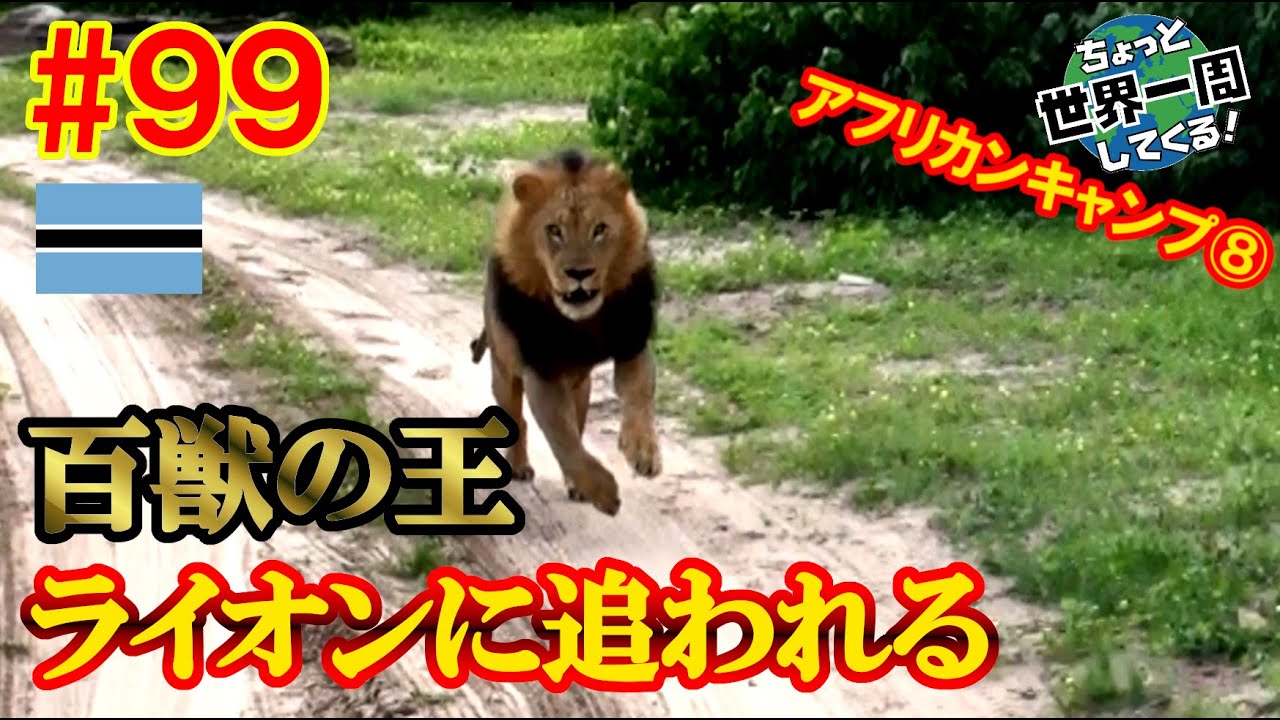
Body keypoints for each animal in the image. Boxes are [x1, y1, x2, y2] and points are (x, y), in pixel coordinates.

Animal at [469, 148, 662, 516]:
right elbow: (563, 438)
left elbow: (639, 398)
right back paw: (520, 466)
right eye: (553, 230)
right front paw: (603, 491)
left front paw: (643, 452)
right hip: (504, 367)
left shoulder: (632, 343)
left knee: (580, 419)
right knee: (518, 419)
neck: (579, 322)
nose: (579, 273)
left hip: (579, 382)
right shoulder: (541, 369)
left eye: (599, 229)